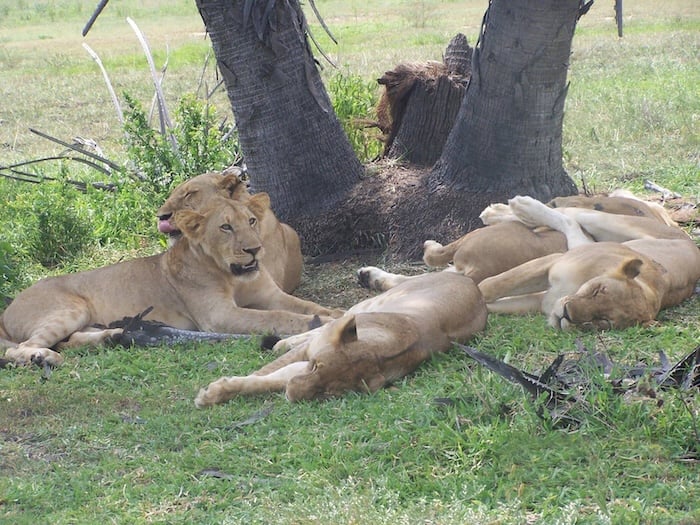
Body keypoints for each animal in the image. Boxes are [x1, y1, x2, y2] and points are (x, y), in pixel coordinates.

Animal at [0, 194, 342, 367]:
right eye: (226, 227)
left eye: (252, 221)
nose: (254, 249)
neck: (232, 275)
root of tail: (8, 310)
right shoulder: (218, 317)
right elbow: (278, 316)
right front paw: (320, 323)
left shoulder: (269, 294)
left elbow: (305, 305)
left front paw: (335, 313)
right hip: (71, 308)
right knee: (21, 348)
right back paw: (44, 357)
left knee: (71, 340)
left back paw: (112, 336)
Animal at [194, 271, 487, 406]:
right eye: (316, 367)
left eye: (327, 393)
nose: (291, 395)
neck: (383, 354)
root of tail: (470, 281)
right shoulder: (306, 355)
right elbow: (264, 372)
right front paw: (214, 392)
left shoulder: (301, 369)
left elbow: (266, 381)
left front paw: (217, 392)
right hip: (368, 305)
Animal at [478, 196, 700, 330]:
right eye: (598, 290)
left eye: (602, 320)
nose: (567, 315)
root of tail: (688, 239)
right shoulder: (554, 260)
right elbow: (490, 286)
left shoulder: (539, 300)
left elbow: (494, 304)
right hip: (607, 222)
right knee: (570, 214)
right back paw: (511, 209)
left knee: (571, 222)